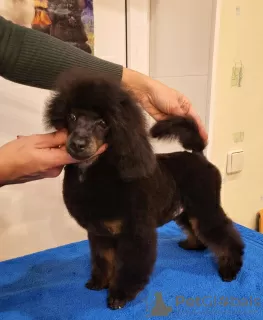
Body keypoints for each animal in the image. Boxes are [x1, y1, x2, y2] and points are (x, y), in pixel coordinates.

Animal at [44, 68, 244, 310]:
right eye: (72, 117)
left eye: (103, 123)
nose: (77, 144)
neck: (94, 171)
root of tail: (198, 155)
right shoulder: (99, 233)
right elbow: (103, 260)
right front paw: (99, 282)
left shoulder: (135, 233)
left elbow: (129, 267)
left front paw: (119, 295)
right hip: (185, 210)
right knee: (197, 231)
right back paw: (192, 246)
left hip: (204, 206)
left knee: (226, 236)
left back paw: (230, 269)